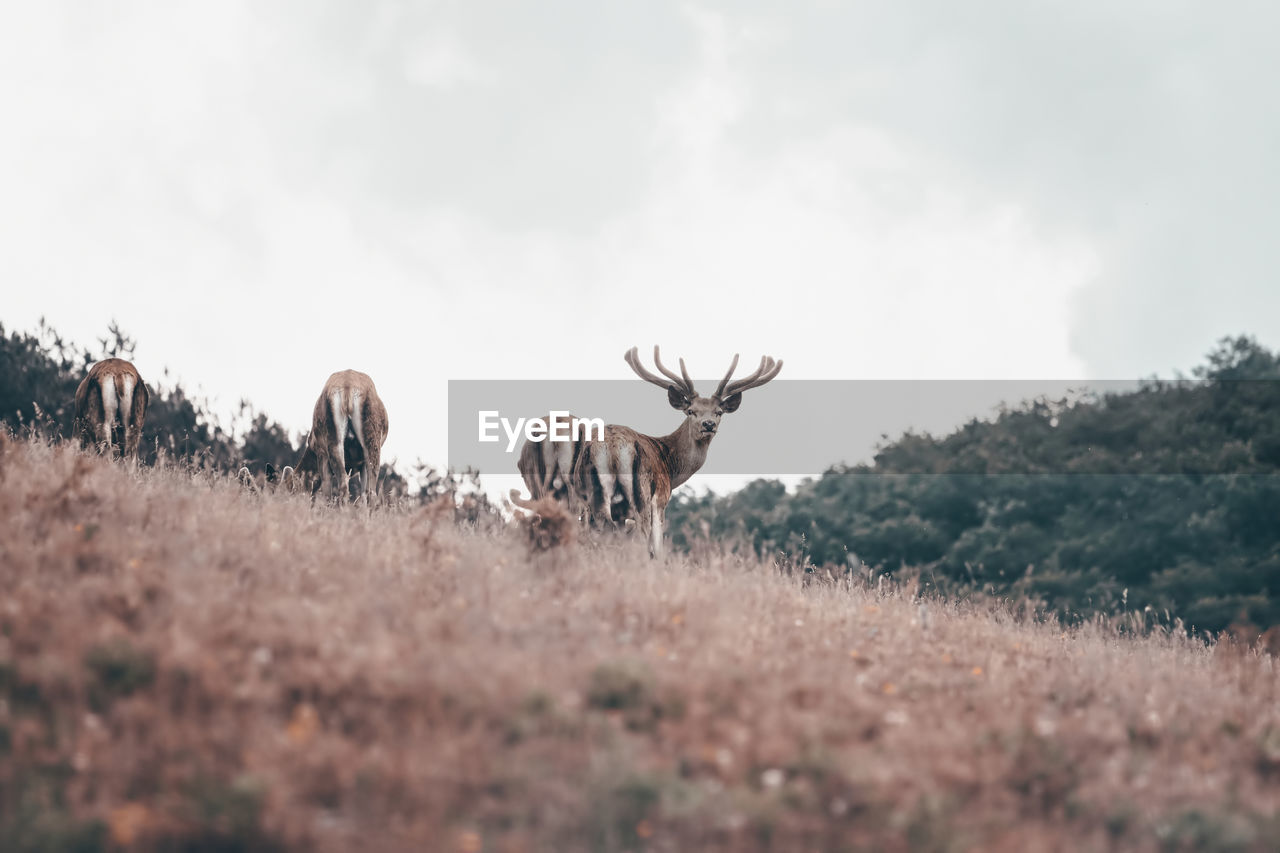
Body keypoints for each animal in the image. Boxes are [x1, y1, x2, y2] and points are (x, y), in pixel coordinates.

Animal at [285, 368, 389, 502]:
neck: (312, 447)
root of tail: (348, 387)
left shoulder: (321, 453)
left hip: (336, 437)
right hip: (366, 439)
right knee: (362, 489)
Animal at [570, 345, 778, 558]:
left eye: (718, 412)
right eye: (691, 411)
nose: (708, 424)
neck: (671, 467)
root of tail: (612, 447)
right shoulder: (661, 500)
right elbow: (658, 549)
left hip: (589, 498)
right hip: (641, 496)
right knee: (642, 537)